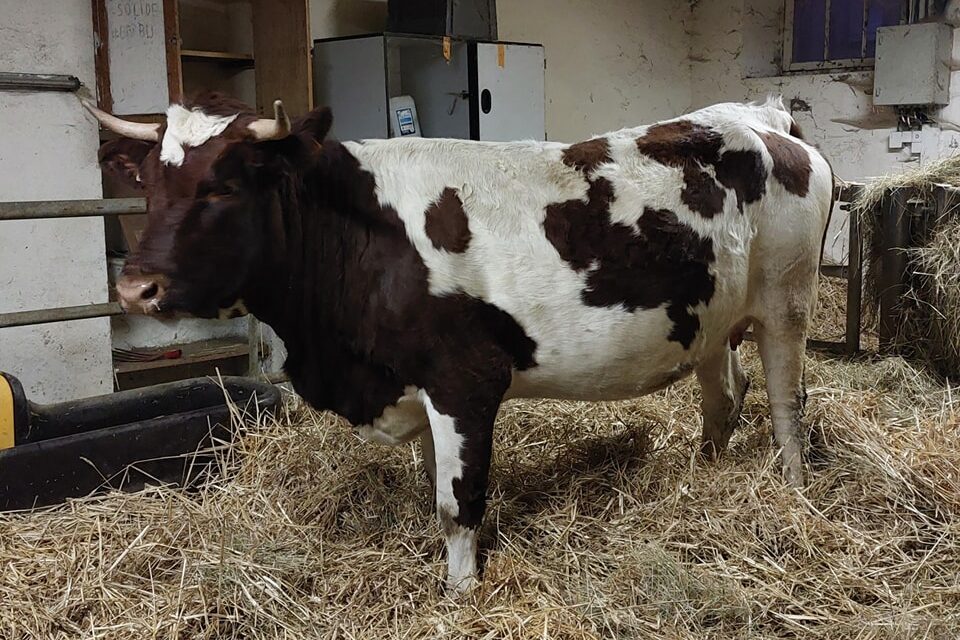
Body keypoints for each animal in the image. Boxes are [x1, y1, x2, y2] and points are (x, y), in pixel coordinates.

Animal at [86, 92, 836, 592]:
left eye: (223, 186)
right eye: (146, 184)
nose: (136, 289)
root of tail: (762, 116)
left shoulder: (463, 381)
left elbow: (457, 503)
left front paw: (461, 590)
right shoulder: (414, 389)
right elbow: (434, 489)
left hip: (786, 301)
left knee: (786, 405)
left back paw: (794, 497)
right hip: (710, 319)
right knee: (724, 398)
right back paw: (703, 476)